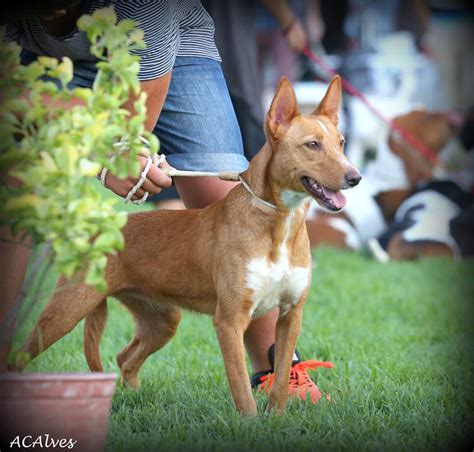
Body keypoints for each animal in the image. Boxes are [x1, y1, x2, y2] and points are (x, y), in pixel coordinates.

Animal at [16, 76, 362, 414]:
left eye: (342, 143)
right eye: (312, 145)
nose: (355, 177)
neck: (279, 225)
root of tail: (96, 230)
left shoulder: (292, 314)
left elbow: (278, 383)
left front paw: (276, 419)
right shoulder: (229, 321)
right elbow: (241, 387)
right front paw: (251, 424)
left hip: (162, 320)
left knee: (125, 358)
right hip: (66, 310)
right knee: (22, 354)